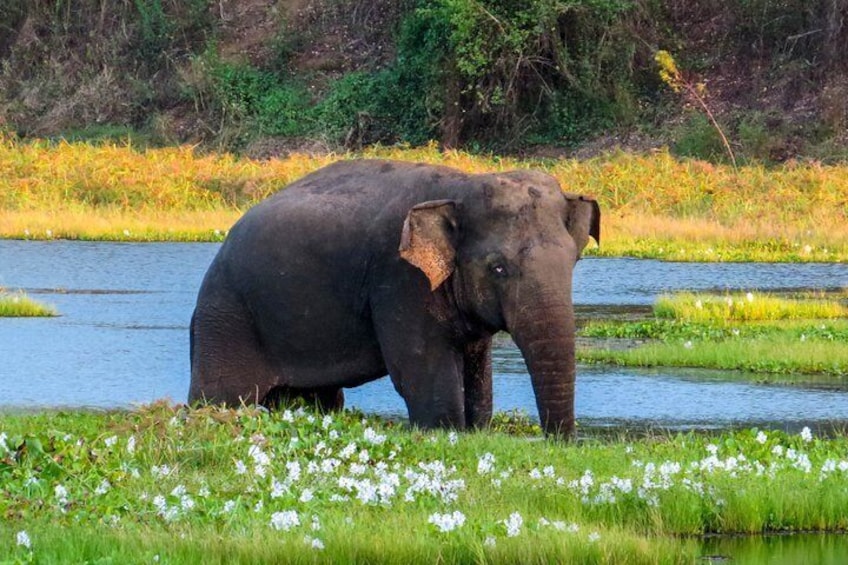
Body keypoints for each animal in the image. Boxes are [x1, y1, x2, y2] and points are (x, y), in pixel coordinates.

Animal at [189, 159, 600, 436]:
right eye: (498, 268)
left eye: (574, 261)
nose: (558, 443)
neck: (460, 186)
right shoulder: (399, 280)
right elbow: (419, 372)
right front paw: (446, 432)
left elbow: (477, 375)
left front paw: (475, 430)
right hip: (227, 317)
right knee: (221, 395)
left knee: (318, 399)